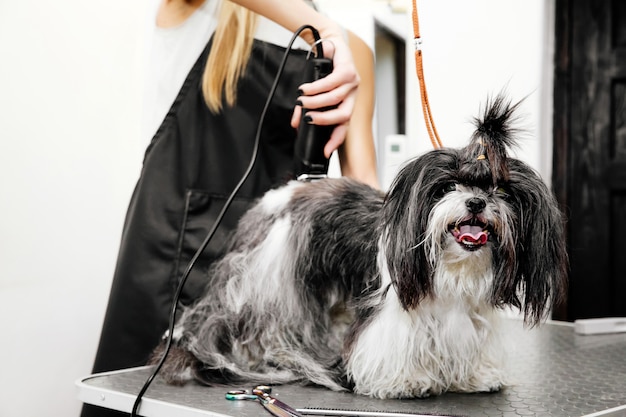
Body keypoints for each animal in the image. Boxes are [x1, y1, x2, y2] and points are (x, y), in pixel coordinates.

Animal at [155, 94, 564, 396]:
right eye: (448, 187)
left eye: (501, 191)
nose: (477, 202)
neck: (454, 267)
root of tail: (280, 195)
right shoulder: (394, 313)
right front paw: (405, 381)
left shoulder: (469, 317)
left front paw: (476, 376)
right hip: (271, 284)